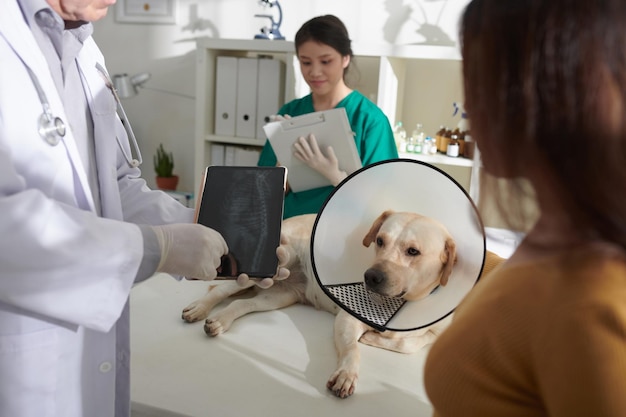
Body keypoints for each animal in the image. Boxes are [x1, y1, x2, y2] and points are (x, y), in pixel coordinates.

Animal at [180, 211, 502, 396]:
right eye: (380, 241)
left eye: (413, 251)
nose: (371, 276)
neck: (399, 306)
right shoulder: (347, 320)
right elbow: (352, 350)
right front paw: (347, 374)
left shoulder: (434, 334)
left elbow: (411, 343)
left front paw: (376, 339)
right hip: (258, 274)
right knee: (218, 291)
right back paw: (200, 308)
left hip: (277, 296)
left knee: (241, 306)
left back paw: (219, 321)